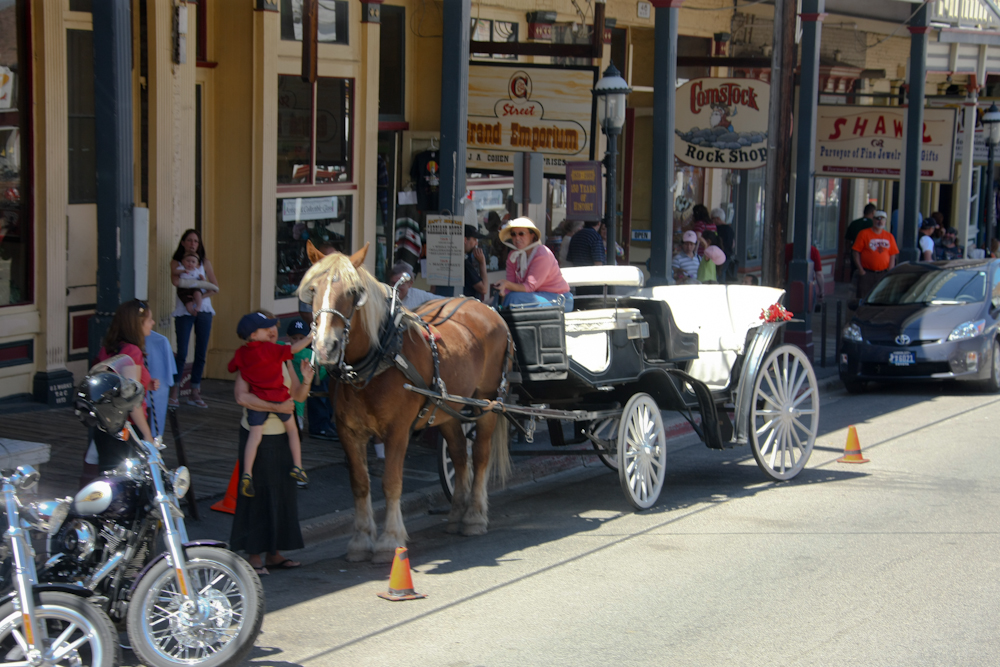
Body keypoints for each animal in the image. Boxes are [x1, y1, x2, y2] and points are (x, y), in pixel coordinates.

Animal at [298, 242, 512, 563]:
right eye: (313, 289)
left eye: (354, 292)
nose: (326, 348)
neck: (379, 358)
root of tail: (486, 307)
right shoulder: (348, 431)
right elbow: (360, 483)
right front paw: (361, 540)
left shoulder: (397, 430)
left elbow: (391, 482)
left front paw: (390, 540)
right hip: (446, 410)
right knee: (459, 456)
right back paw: (456, 514)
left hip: (486, 405)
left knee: (480, 456)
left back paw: (474, 516)